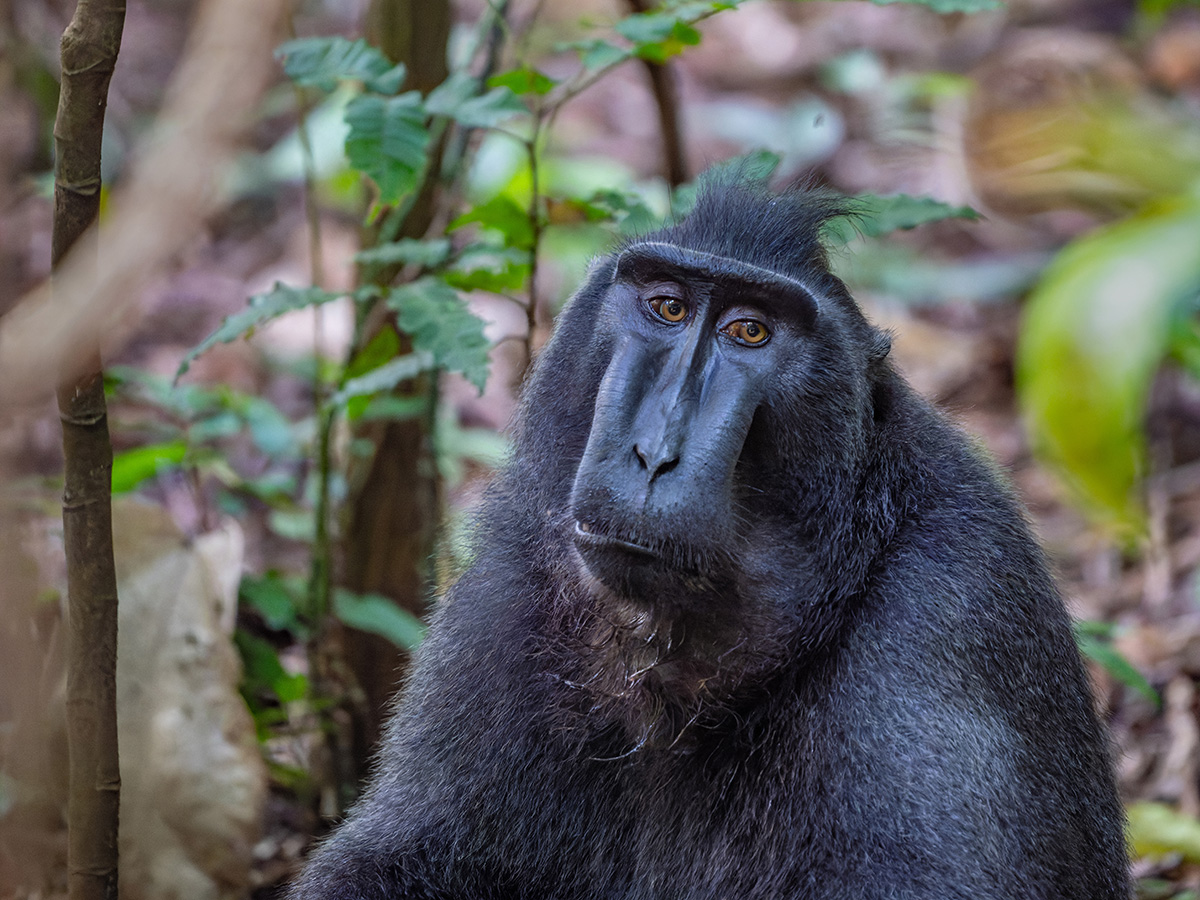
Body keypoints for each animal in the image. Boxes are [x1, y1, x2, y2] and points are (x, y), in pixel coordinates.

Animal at [292, 180, 1130, 899]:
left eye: (748, 331)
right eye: (666, 307)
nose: (654, 455)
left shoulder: (944, 614)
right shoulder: (510, 587)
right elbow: (398, 855)